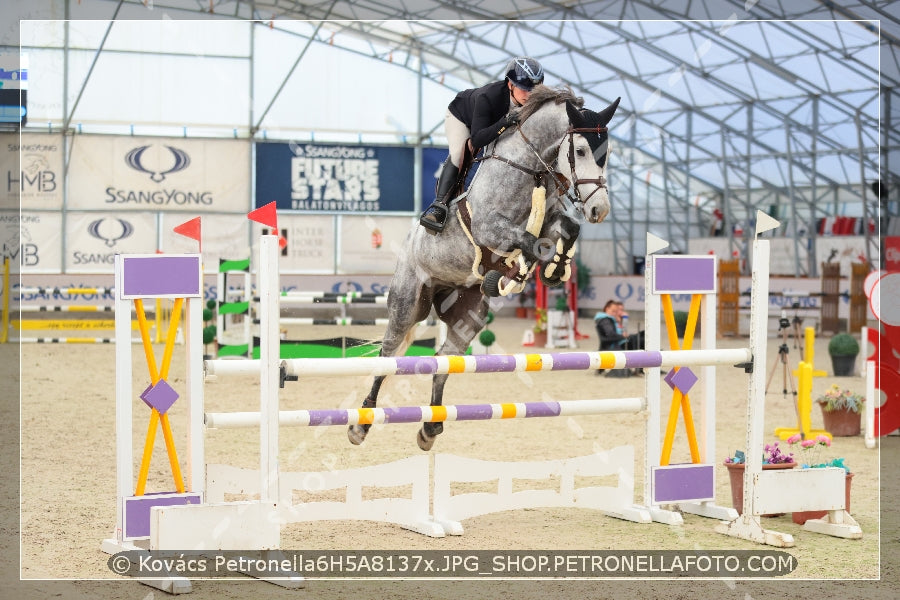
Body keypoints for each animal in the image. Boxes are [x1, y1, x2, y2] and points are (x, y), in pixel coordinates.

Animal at [348, 85, 624, 450]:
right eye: (579, 151)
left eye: (606, 154)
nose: (599, 210)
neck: (527, 166)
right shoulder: (490, 228)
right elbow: (531, 243)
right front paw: (515, 276)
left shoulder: (548, 218)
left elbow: (564, 229)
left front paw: (551, 270)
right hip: (407, 304)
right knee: (388, 354)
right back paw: (361, 424)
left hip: (469, 316)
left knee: (444, 357)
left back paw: (430, 427)